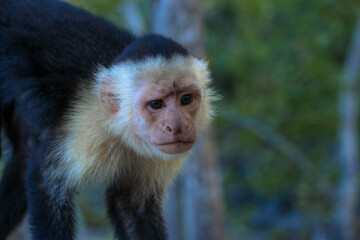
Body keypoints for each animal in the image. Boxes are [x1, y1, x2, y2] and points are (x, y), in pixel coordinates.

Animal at [0, 0, 217, 239]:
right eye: (156, 104)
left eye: (186, 99)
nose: (177, 126)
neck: (120, 125)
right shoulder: (85, 120)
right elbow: (45, 180)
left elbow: (132, 205)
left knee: (25, 151)